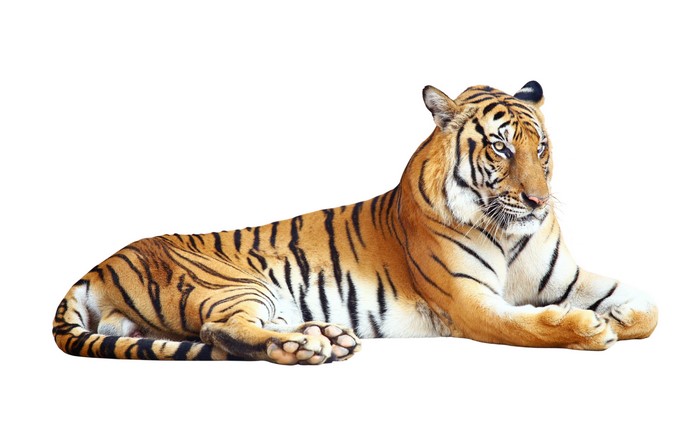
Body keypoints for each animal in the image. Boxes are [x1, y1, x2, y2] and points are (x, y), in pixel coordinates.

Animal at [53, 81, 658, 364]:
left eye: (542, 148)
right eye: (501, 148)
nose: (538, 201)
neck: (510, 233)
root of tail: (100, 265)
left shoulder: (566, 278)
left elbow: (650, 309)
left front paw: (621, 315)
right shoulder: (471, 304)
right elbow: (529, 325)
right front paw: (591, 328)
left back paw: (323, 337)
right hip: (232, 284)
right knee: (218, 331)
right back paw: (309, 349)